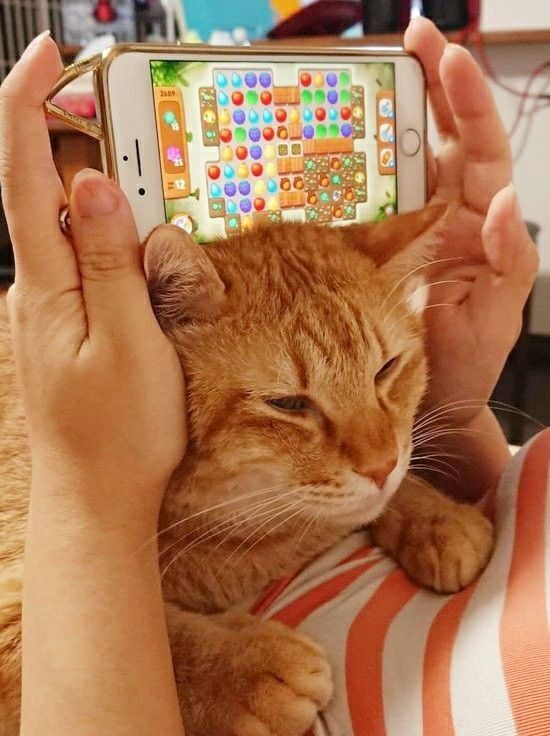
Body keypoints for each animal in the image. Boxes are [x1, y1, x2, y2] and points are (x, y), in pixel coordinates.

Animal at [0, 205, 494, 736]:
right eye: (288, 404)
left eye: (386, 369)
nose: (381, 464)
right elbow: (133, 635)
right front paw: (245, 669)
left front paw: (436, 515)